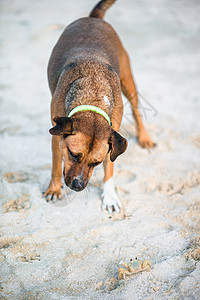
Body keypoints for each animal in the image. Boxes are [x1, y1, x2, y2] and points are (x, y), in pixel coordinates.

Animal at [44, 1, 154, 214]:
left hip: (128, 81)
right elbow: (55, 165)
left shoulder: (113, 137)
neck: (93, 97)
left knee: (136, 109)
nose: (78, 186)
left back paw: (144, 137)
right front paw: (54, 189)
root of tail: (93, 18)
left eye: (96, 162)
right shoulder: (56, 137)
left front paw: (110, 196)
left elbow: (110, 168)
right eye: (73, 155)